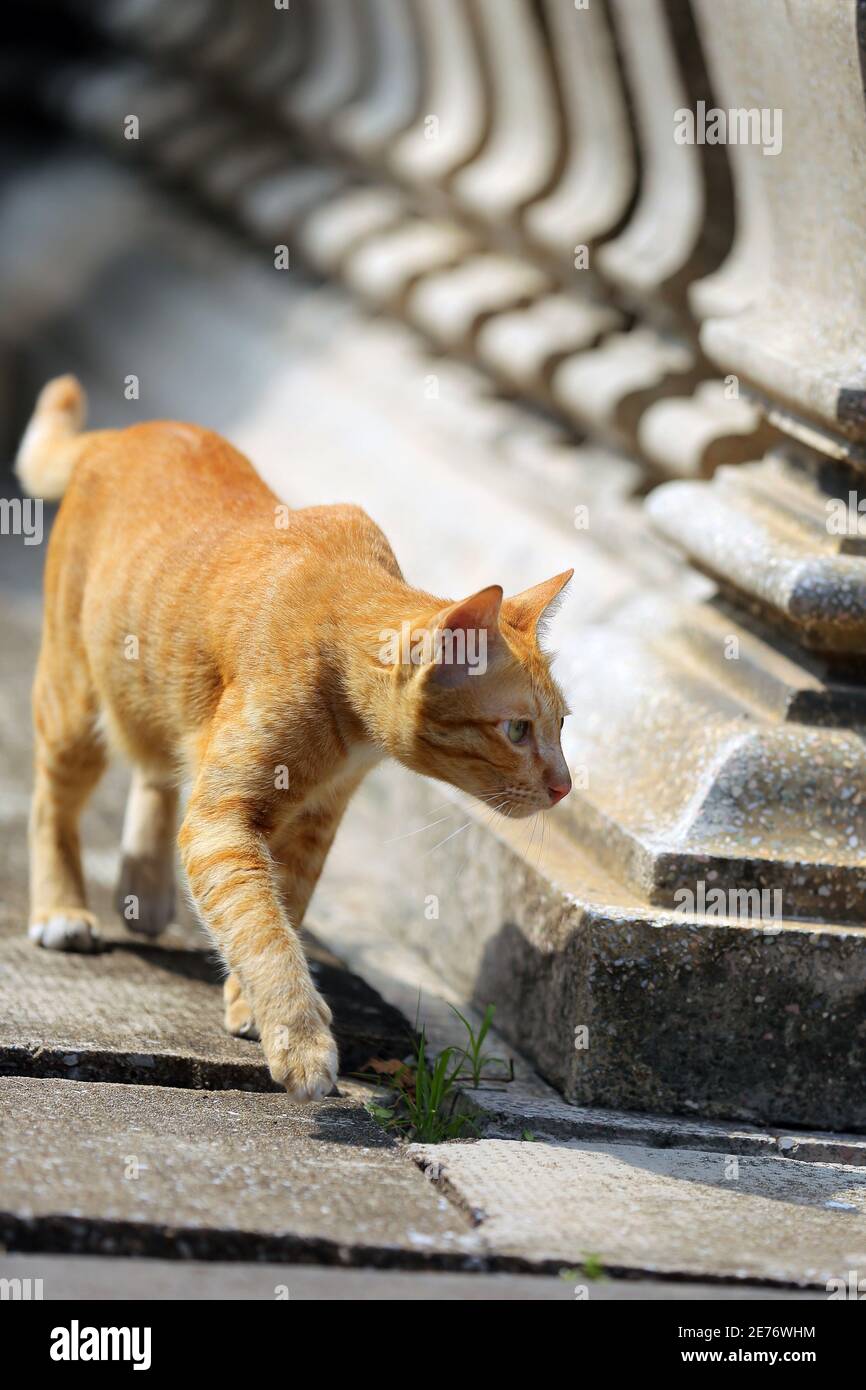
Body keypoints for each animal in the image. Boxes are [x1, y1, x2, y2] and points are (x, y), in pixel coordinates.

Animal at [16, 375, 572, 1100]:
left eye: (562, 725)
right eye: (517, 729)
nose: (565, 787)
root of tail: (120, 434)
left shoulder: (314, 819)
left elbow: (285, 905)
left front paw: (247, 1004)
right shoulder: (224, 824)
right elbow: (263, 929)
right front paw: (300, 1039)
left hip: (152, 683)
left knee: (157, 765)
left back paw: (144, 887)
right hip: (76, 699)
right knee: (54, 801)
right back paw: (63, 909)